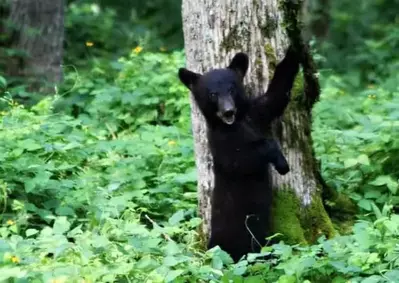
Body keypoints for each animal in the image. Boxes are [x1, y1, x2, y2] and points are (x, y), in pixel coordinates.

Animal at [178, 45, 300, 262]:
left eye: (232, 89)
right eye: (213, 94)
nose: (228, 111)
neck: (236, 124)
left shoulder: (256, 114)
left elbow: (275, 97)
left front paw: (296, 50)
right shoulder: (221, 142)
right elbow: (241, 160)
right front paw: (282, 163)